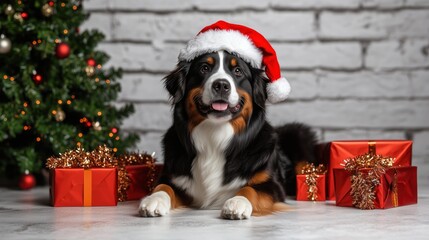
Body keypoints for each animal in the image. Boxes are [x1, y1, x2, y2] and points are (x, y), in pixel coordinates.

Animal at [139, 49, 316, 220]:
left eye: (238, 71)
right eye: (204, 68)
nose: (221, 85)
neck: (215, 134)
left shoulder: (272, 184)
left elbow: (250, 189)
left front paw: (237, 202)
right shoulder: (172, 177)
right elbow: (163, 186)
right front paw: (153, 200)